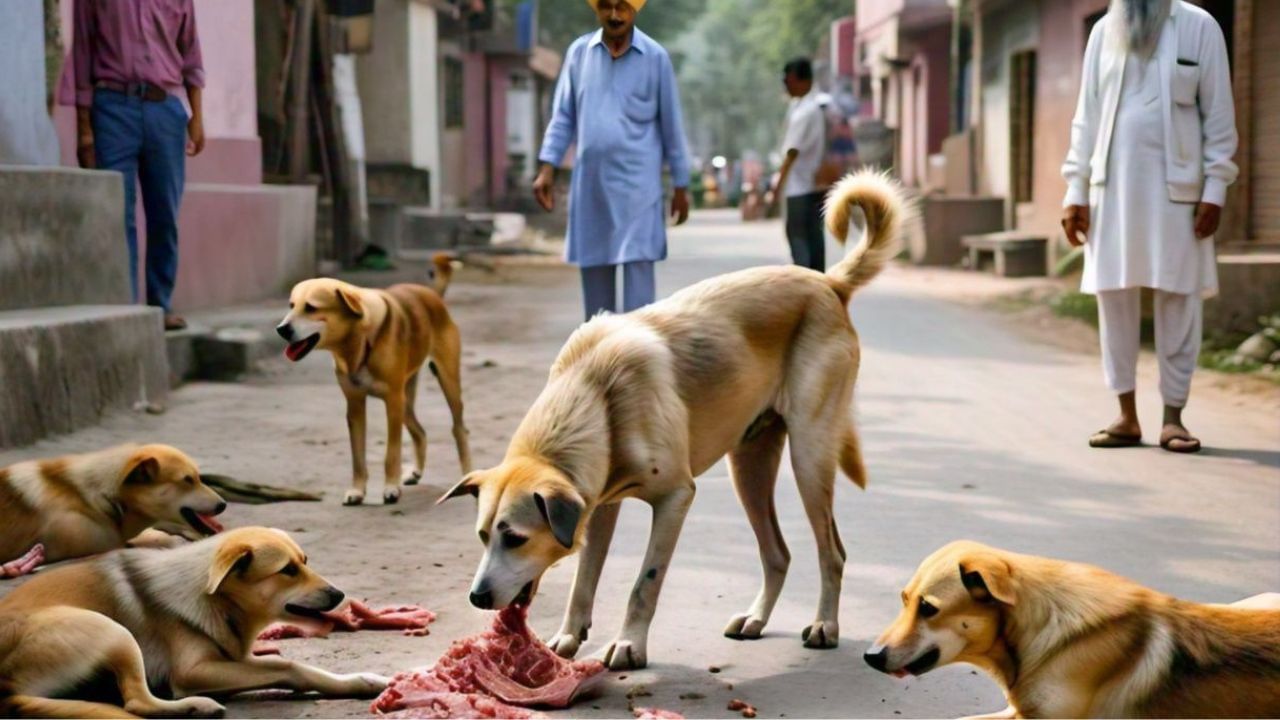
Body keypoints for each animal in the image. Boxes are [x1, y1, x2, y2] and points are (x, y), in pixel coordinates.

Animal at [1, 525, 389, 712]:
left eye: (305, 561)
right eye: (287, 571)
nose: (339, 594)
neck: (217, 600)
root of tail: (10, 690)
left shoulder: (233, 657)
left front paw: (363, 679)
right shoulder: (193, 672)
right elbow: (290, 667)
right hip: (110, 629)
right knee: (137, 701)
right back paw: (196, 706)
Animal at [280, 254, 476, 507]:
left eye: (311, 308)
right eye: (291, 306)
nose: (281, 330)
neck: (360, 340)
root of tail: (431, 294)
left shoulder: (392, 403)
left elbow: (391, 453)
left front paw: (390, 488)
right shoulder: (355, 405)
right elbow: (357, 457)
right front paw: (357, 490)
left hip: (445, 382)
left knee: (458, 428)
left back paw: (467, 473)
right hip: (406, 398)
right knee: (420, 432)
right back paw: (416, 472)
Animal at [440, 170, 911, 671]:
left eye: (514, 538)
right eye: (483, 535)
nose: (476, 597)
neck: (594, 393)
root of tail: (827, 282)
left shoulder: (675, 498)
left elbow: (643, 582)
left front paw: (629, 645)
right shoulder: (598, 503)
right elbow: (583, 579)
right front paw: (568, 637)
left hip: (809, 456)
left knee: (833, 552)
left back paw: (825, 625)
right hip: (748, 467)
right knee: (777, 553)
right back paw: (756, 618)